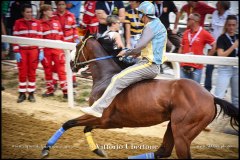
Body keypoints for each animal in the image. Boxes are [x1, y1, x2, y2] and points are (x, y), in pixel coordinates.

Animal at [41, 31, 238, 159]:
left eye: (77, 45)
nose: (71, 64)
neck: (106, 78)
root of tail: (211, 97)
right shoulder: (107, 122)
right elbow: (84, 128)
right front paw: (99, 151)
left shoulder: (101, 117)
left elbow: (68, 123)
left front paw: (45, 149)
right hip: (174, 126)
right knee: (162, 151)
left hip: (183, 132)